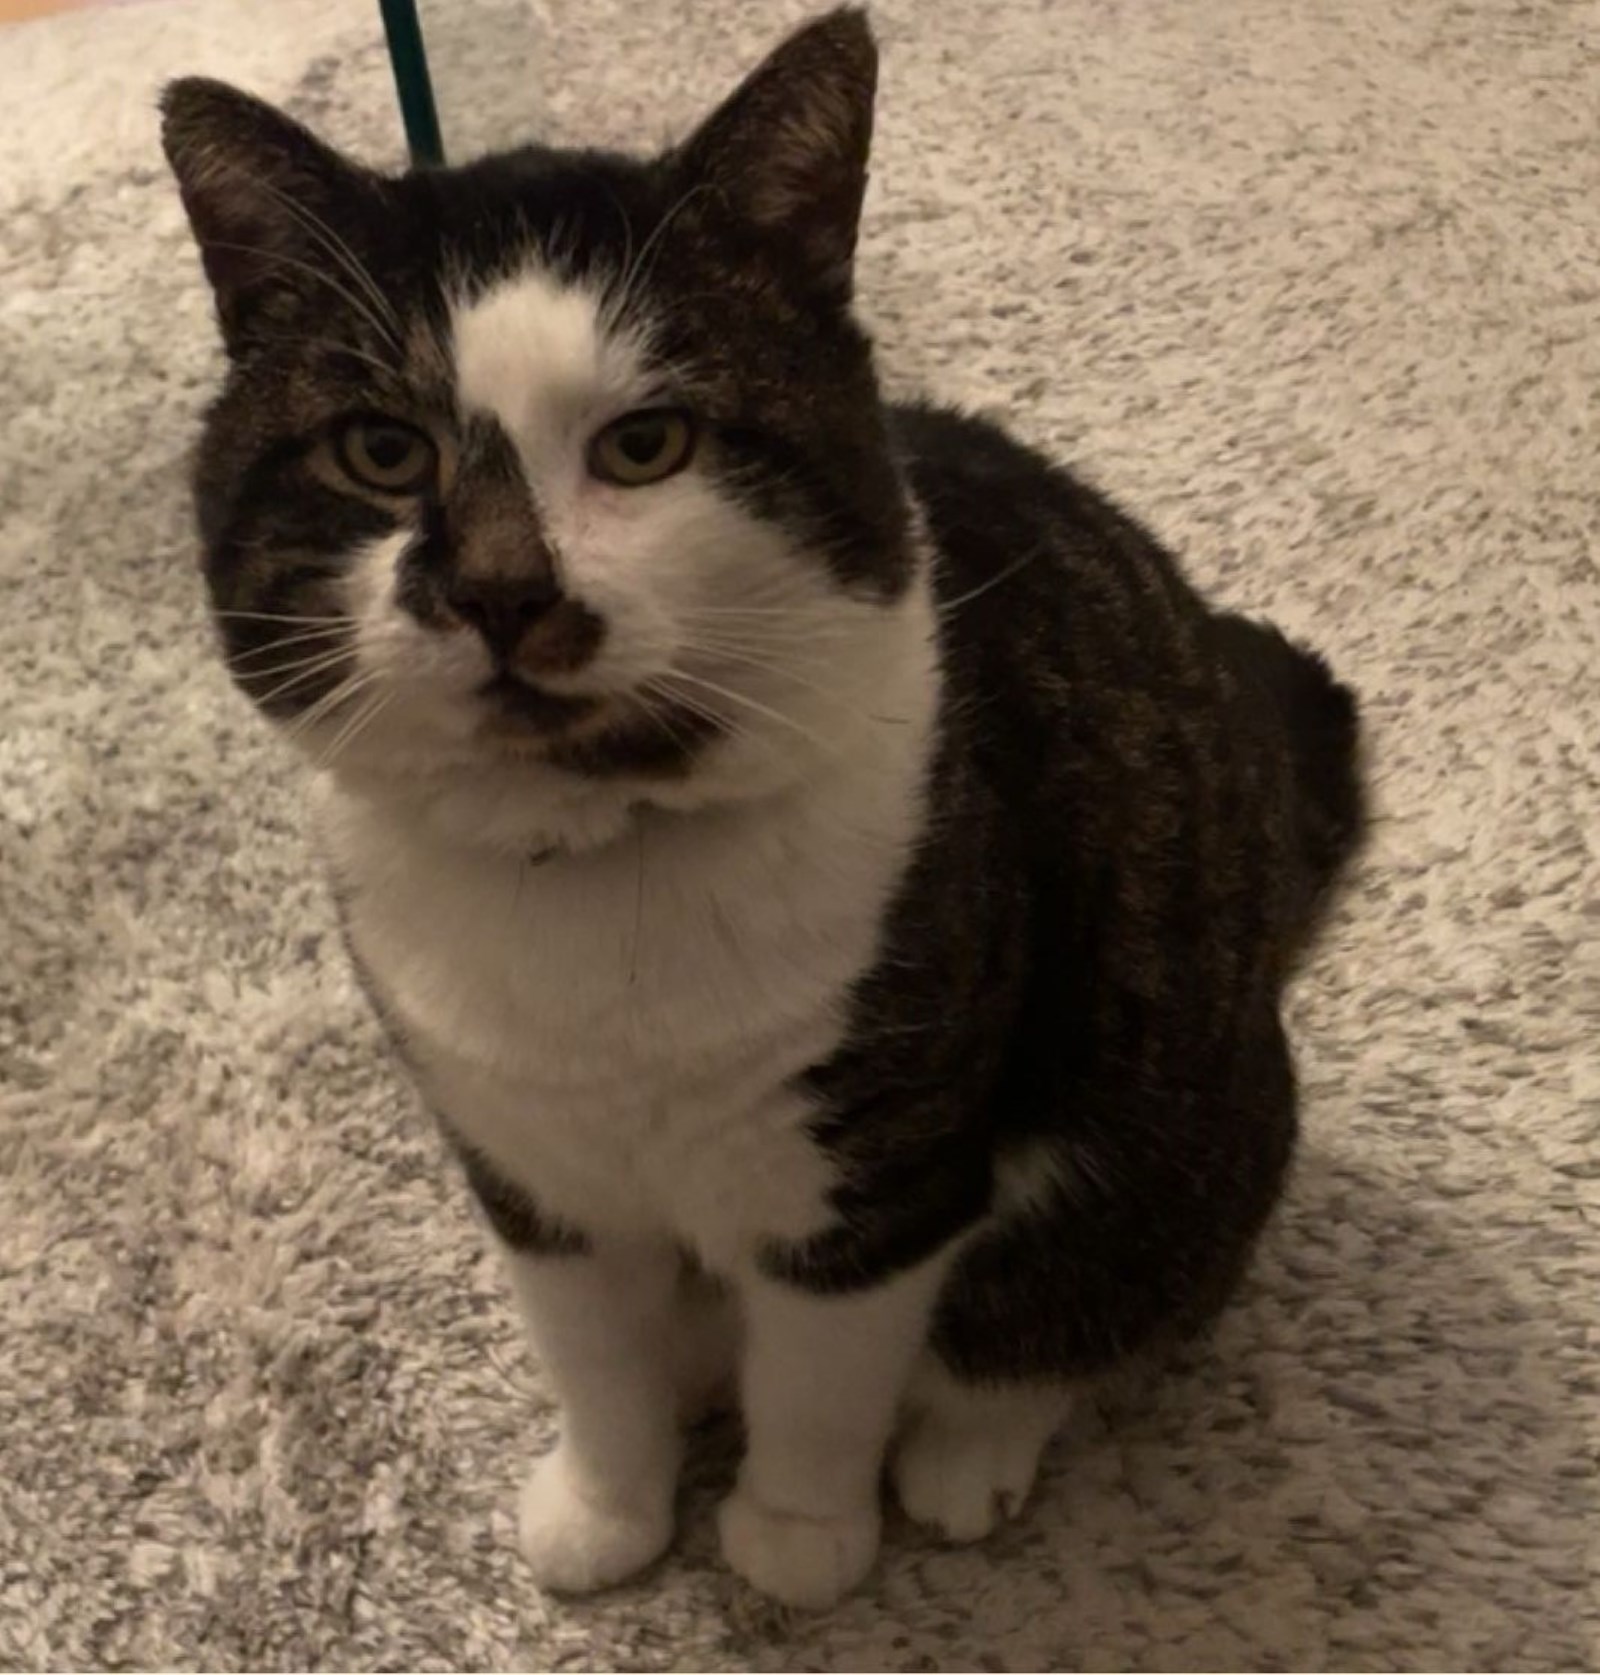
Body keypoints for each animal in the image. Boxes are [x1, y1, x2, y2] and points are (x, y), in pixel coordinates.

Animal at [161, 5, 1364, 1610]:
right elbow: (594, 1356)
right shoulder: (527, 1162)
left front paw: (795, 1538)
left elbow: (821, 1377)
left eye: (646, 444)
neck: (598, 864)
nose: (502, 589)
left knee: (1072, 1312)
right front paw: (611, 1504)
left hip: (1173, 1121)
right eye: (382, 450)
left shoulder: (879, 1167)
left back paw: (967, 1453)